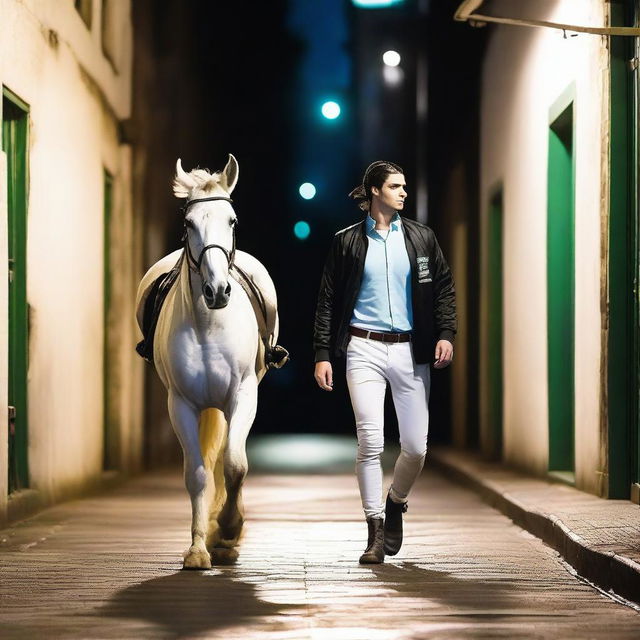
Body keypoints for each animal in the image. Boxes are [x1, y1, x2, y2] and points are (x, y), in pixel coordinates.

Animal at [135, 155, 282, 568]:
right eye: (189, 223)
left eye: (231, 220)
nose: (218, 291)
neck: (208, 325)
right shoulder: (182, 405)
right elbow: (198, 474)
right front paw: (199, 548)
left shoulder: (243, 397)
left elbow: (234, 465)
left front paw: (229, 530)